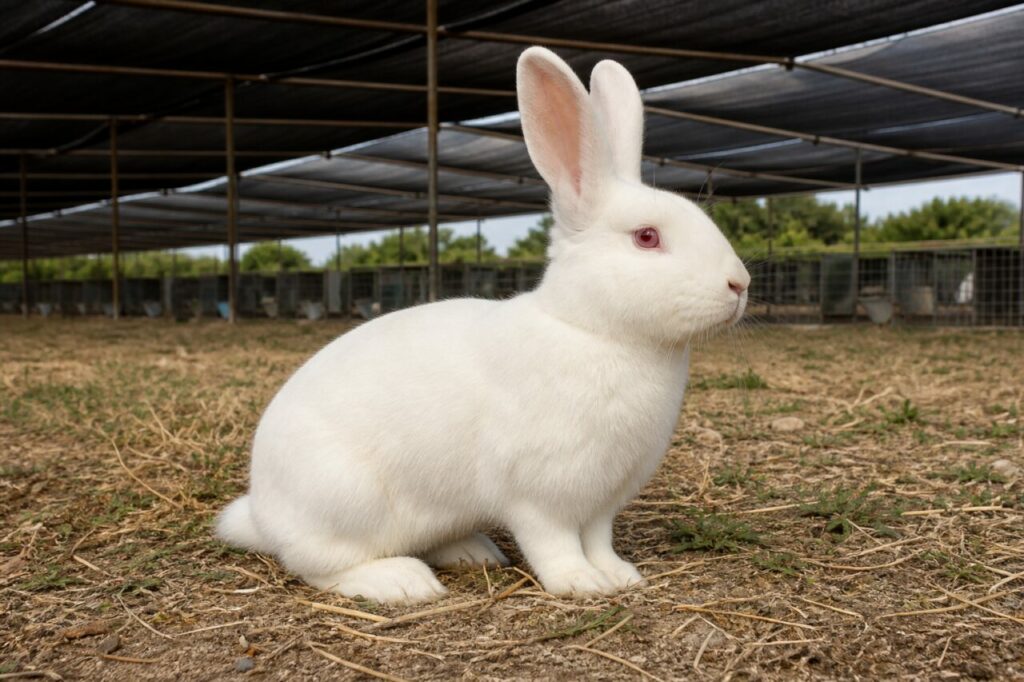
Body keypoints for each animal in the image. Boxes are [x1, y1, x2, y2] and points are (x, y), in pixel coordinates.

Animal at [216, 46, 750, 604]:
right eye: (647, 237)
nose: (740, 283)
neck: (593, 331)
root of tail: (262, 513)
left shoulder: (602, 500)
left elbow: (599, 540)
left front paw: (619, 575)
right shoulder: (540, 496)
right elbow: (555, 544)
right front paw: (580, 583)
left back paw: (473, 553)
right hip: (343, 503)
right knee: (319, 566)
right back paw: (403, 582)